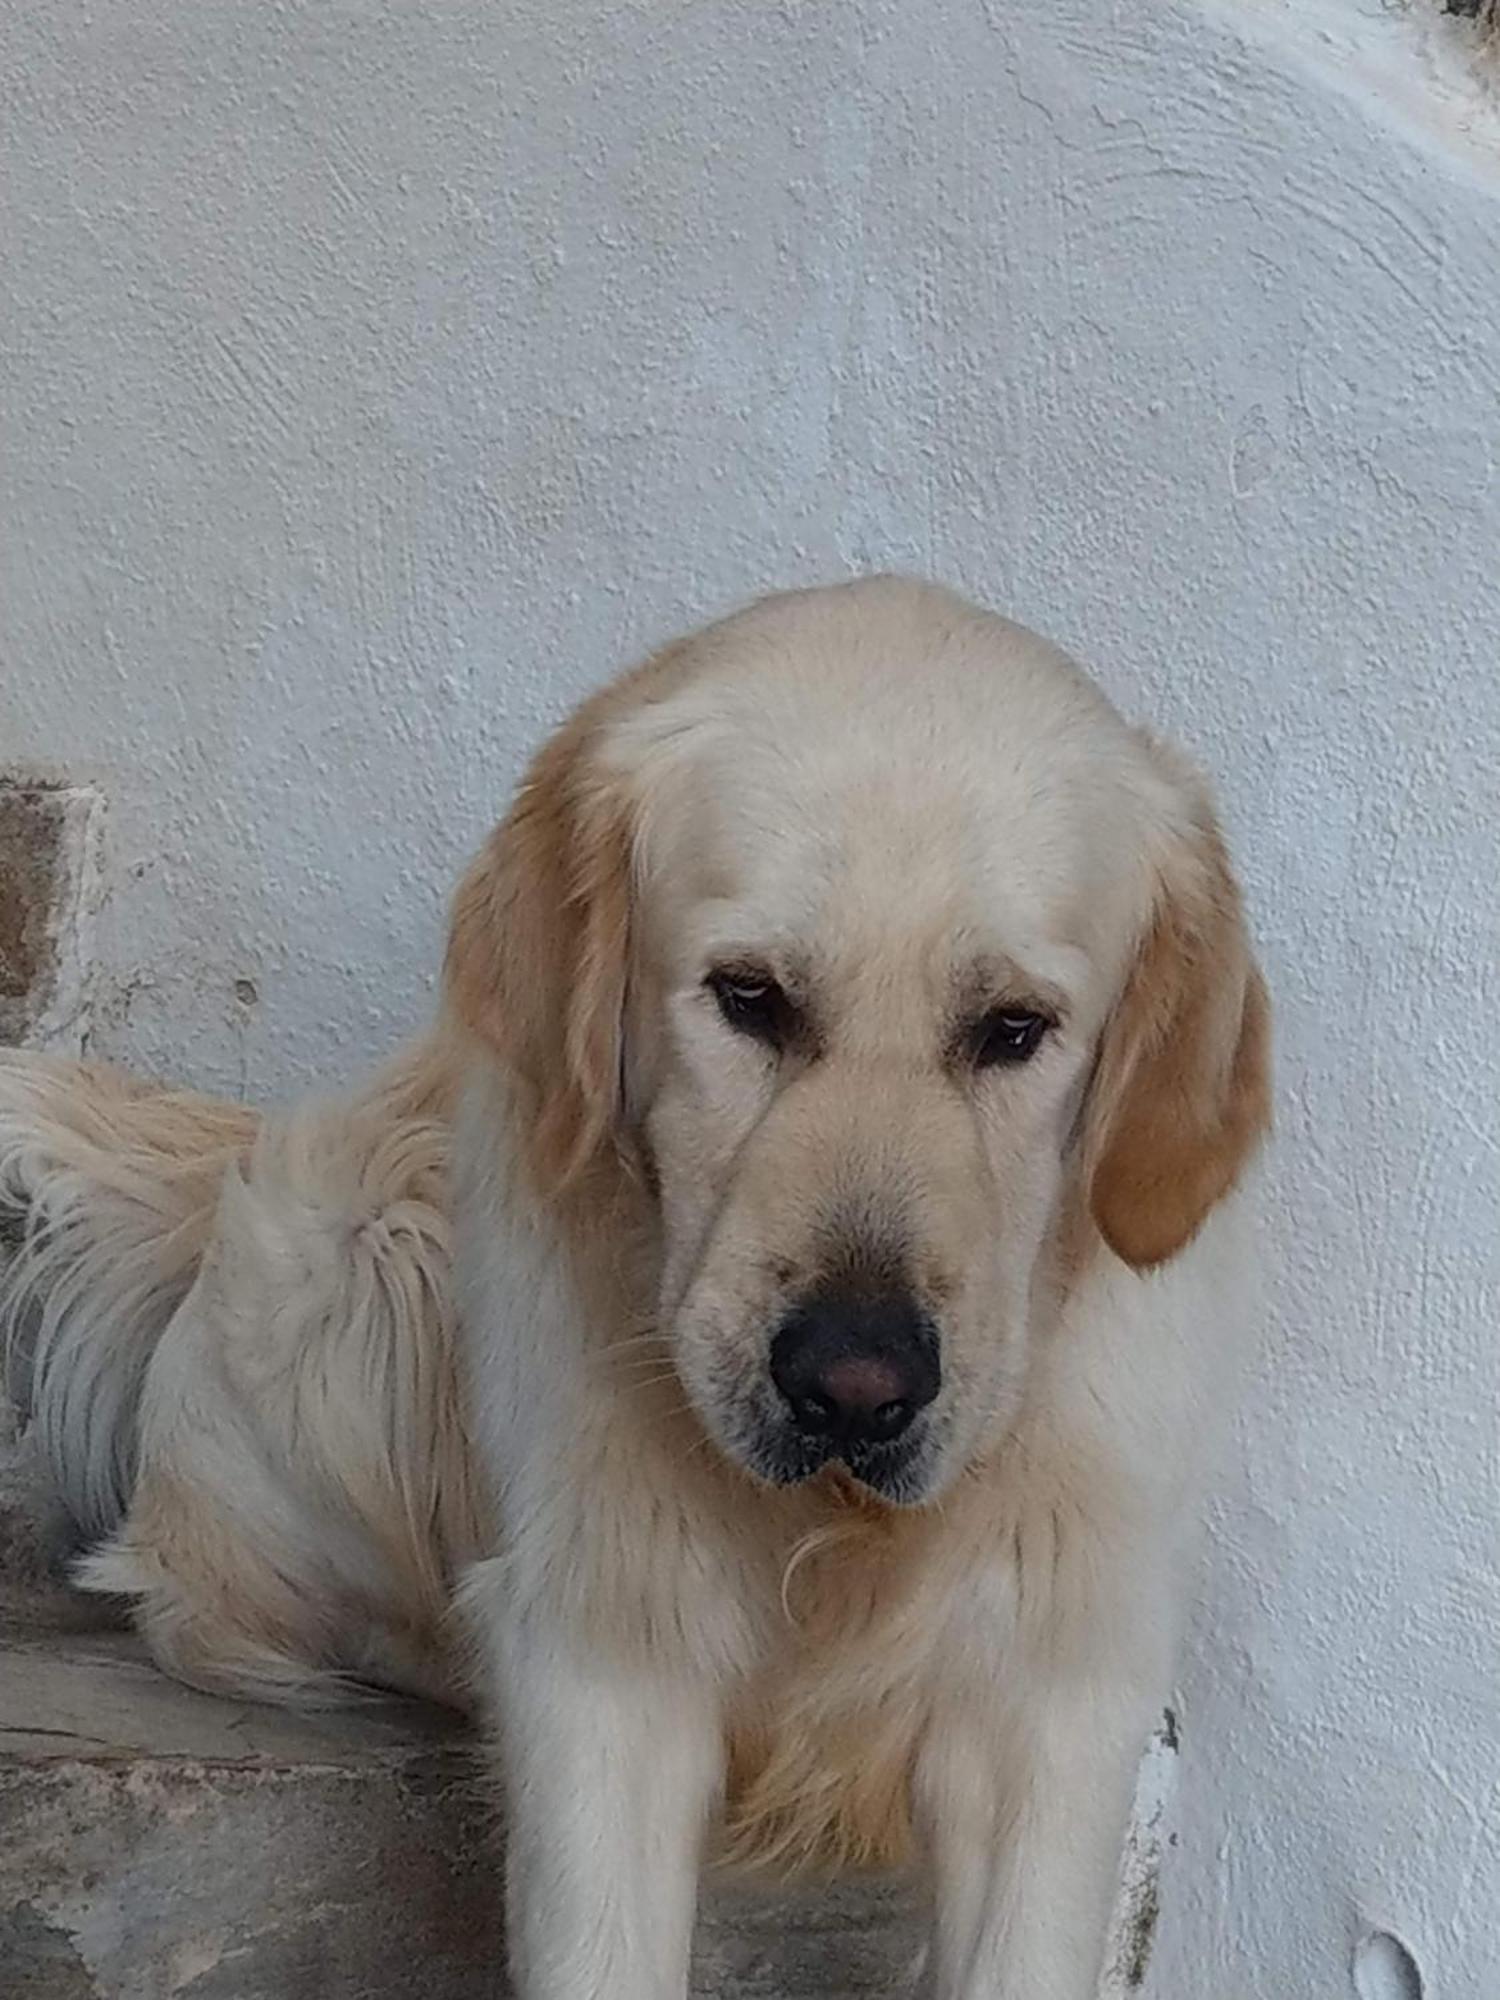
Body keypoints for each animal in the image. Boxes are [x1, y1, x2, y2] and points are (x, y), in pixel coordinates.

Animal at [0, 572, 1272, 1992]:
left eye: (1013, 1028)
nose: (853, 1388)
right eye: (748, 996)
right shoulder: (608, 1659)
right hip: (365, 1259)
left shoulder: (1047, 1687)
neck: (829, 1541)